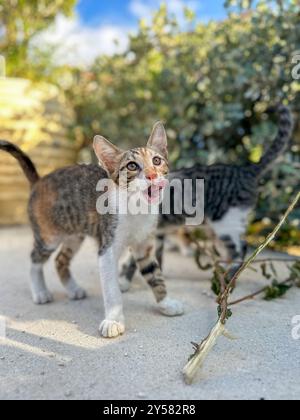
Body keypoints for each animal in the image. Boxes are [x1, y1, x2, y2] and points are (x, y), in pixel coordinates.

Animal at [119, 105, 292, 290]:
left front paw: (124, 282)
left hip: (226, 221)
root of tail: (246, 170)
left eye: (155, 161)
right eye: (132, 166)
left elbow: (135, 259)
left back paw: (227, 280)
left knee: (240, 249)